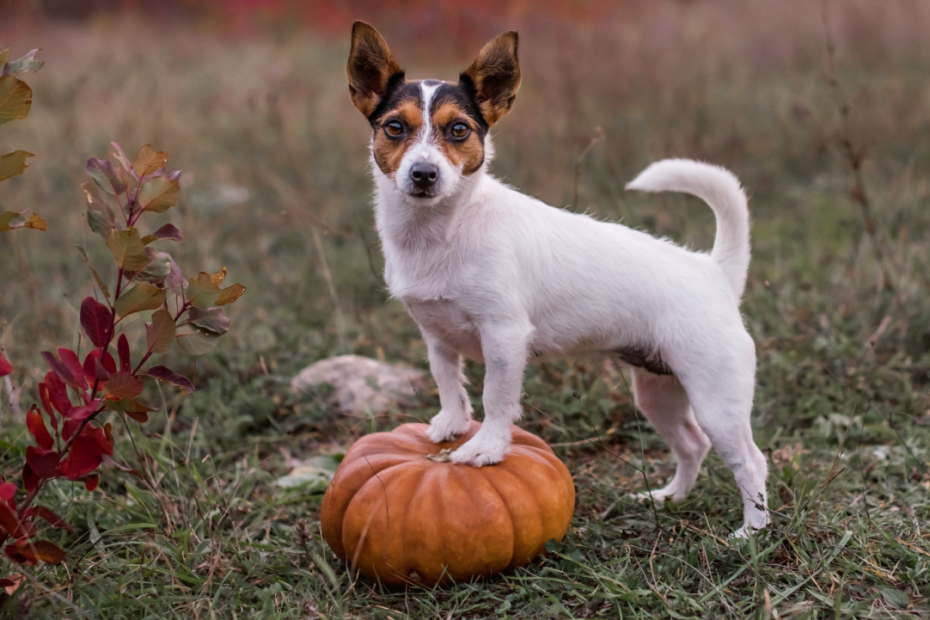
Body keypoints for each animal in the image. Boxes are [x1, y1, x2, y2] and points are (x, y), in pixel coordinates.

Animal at [344, 21, 764, 536]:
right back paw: (669, 498)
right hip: (658, 392)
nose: (424, 174)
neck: (442, 230)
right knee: (691, 444)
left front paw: (486, 447)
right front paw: (451, 424)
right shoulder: (436, 335)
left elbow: (495, 398)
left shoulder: (504, 337)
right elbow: (447, 380)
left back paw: (751, 532)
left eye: (459, 130)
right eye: (394, 128)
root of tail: (714, 270)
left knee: (750, 460)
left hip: (716, 400)